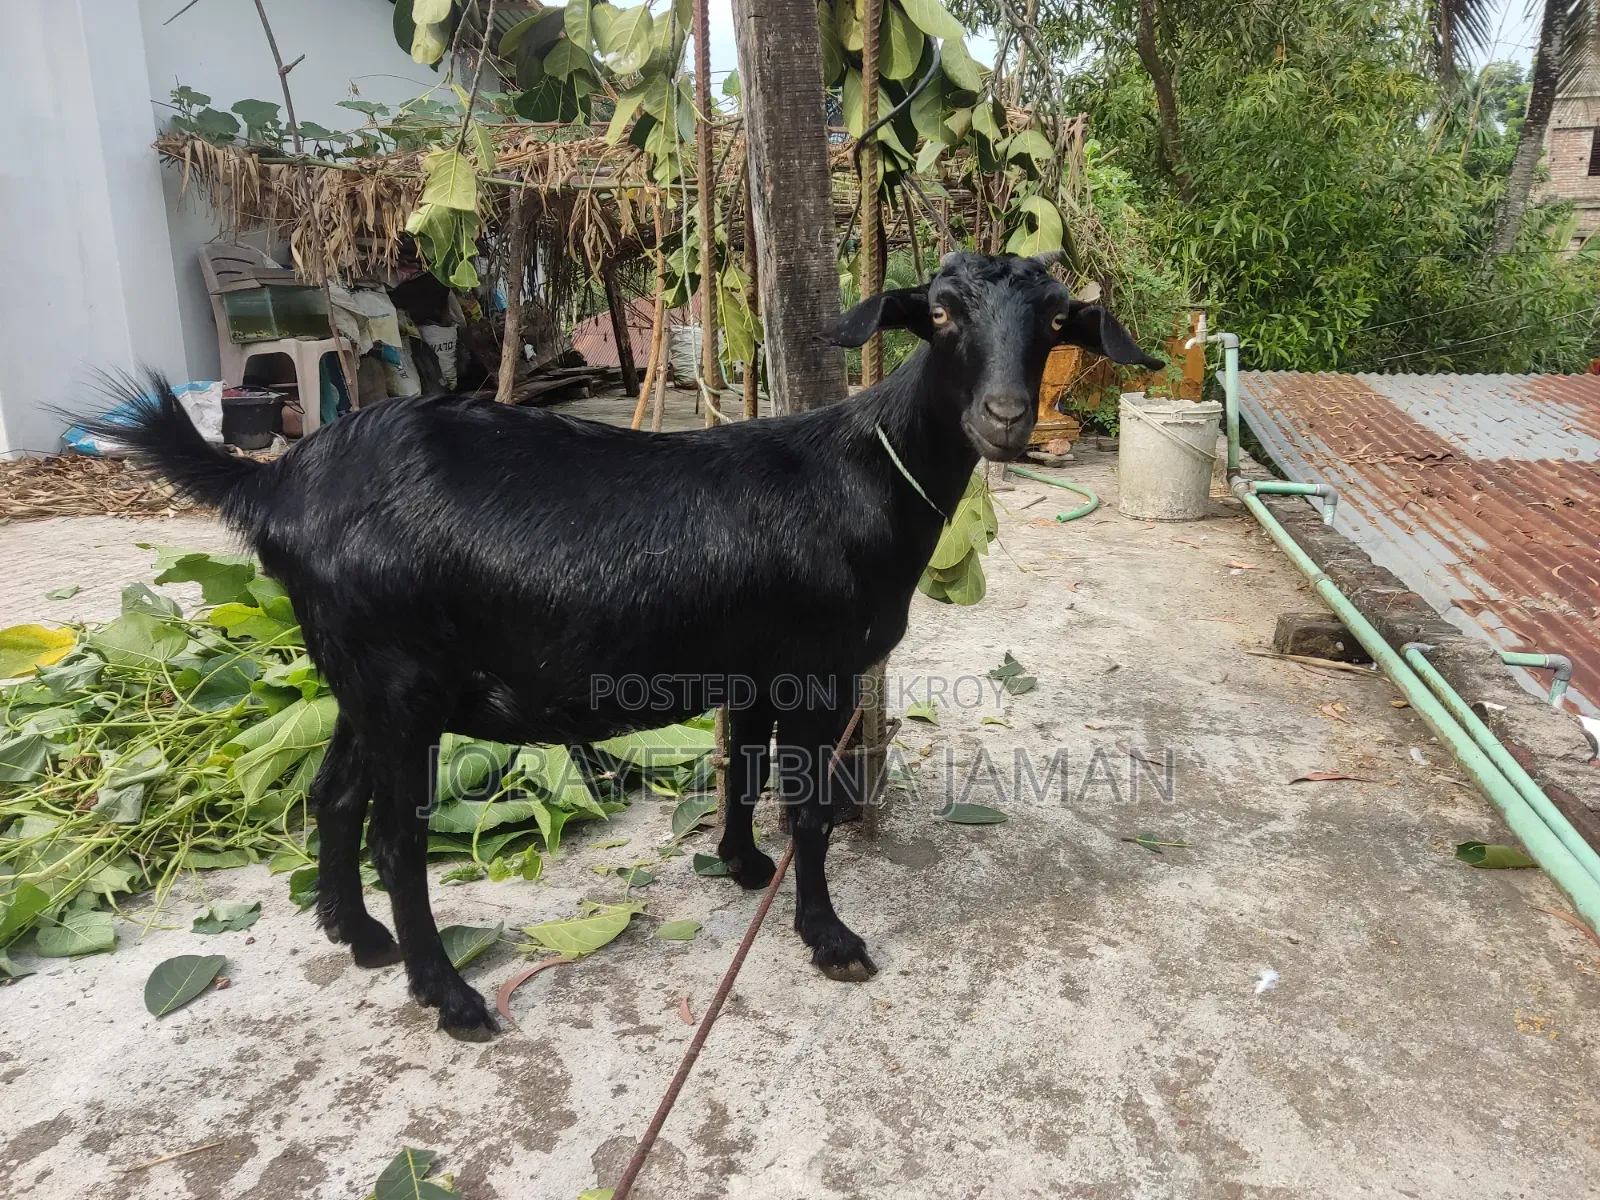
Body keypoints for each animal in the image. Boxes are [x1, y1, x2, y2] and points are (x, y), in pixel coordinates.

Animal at [97, 251, 1161, 1039]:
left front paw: (739, 865)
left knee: (333, 795)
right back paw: (451, 997)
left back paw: (358, 937)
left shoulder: (754, 667)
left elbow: (742, 767)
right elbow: (809, 811)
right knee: (397, 839)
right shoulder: (817, 670)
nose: (1006, 418)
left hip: (357, 675)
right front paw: (829, 938)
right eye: (939, 315)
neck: (865, 475)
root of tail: (274, 485)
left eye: (1055, 323)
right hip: (401, 684)